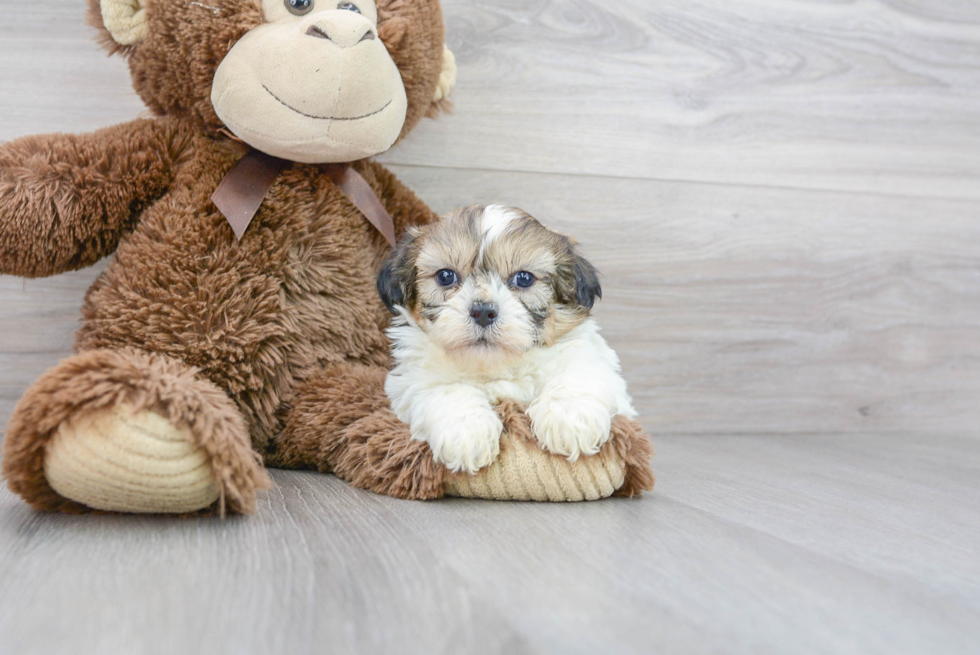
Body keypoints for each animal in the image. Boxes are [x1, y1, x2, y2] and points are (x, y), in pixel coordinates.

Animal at [376, 204, 636, 472]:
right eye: (445, 276)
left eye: (524, 278)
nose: (483, 311)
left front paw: (569, 418)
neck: (496, 364)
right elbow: (446, 390)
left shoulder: (588, 355)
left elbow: (578, 373)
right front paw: (466, 432)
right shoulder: (413, 380)